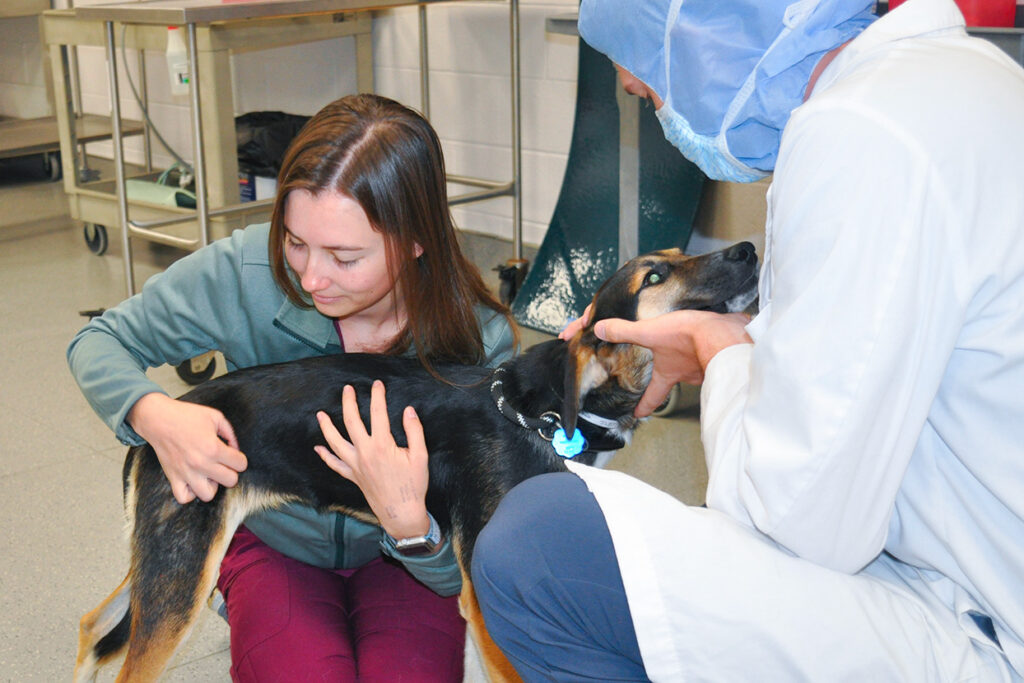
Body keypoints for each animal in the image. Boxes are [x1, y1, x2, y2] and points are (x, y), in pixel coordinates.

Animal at [75, 240, 757, 679]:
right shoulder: (486, 602)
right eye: (653, 278)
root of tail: (157, 424)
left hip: (165, 557)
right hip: (182, 571)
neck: (533, 413)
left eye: (677, 255)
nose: (749, 248)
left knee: (91, 624)